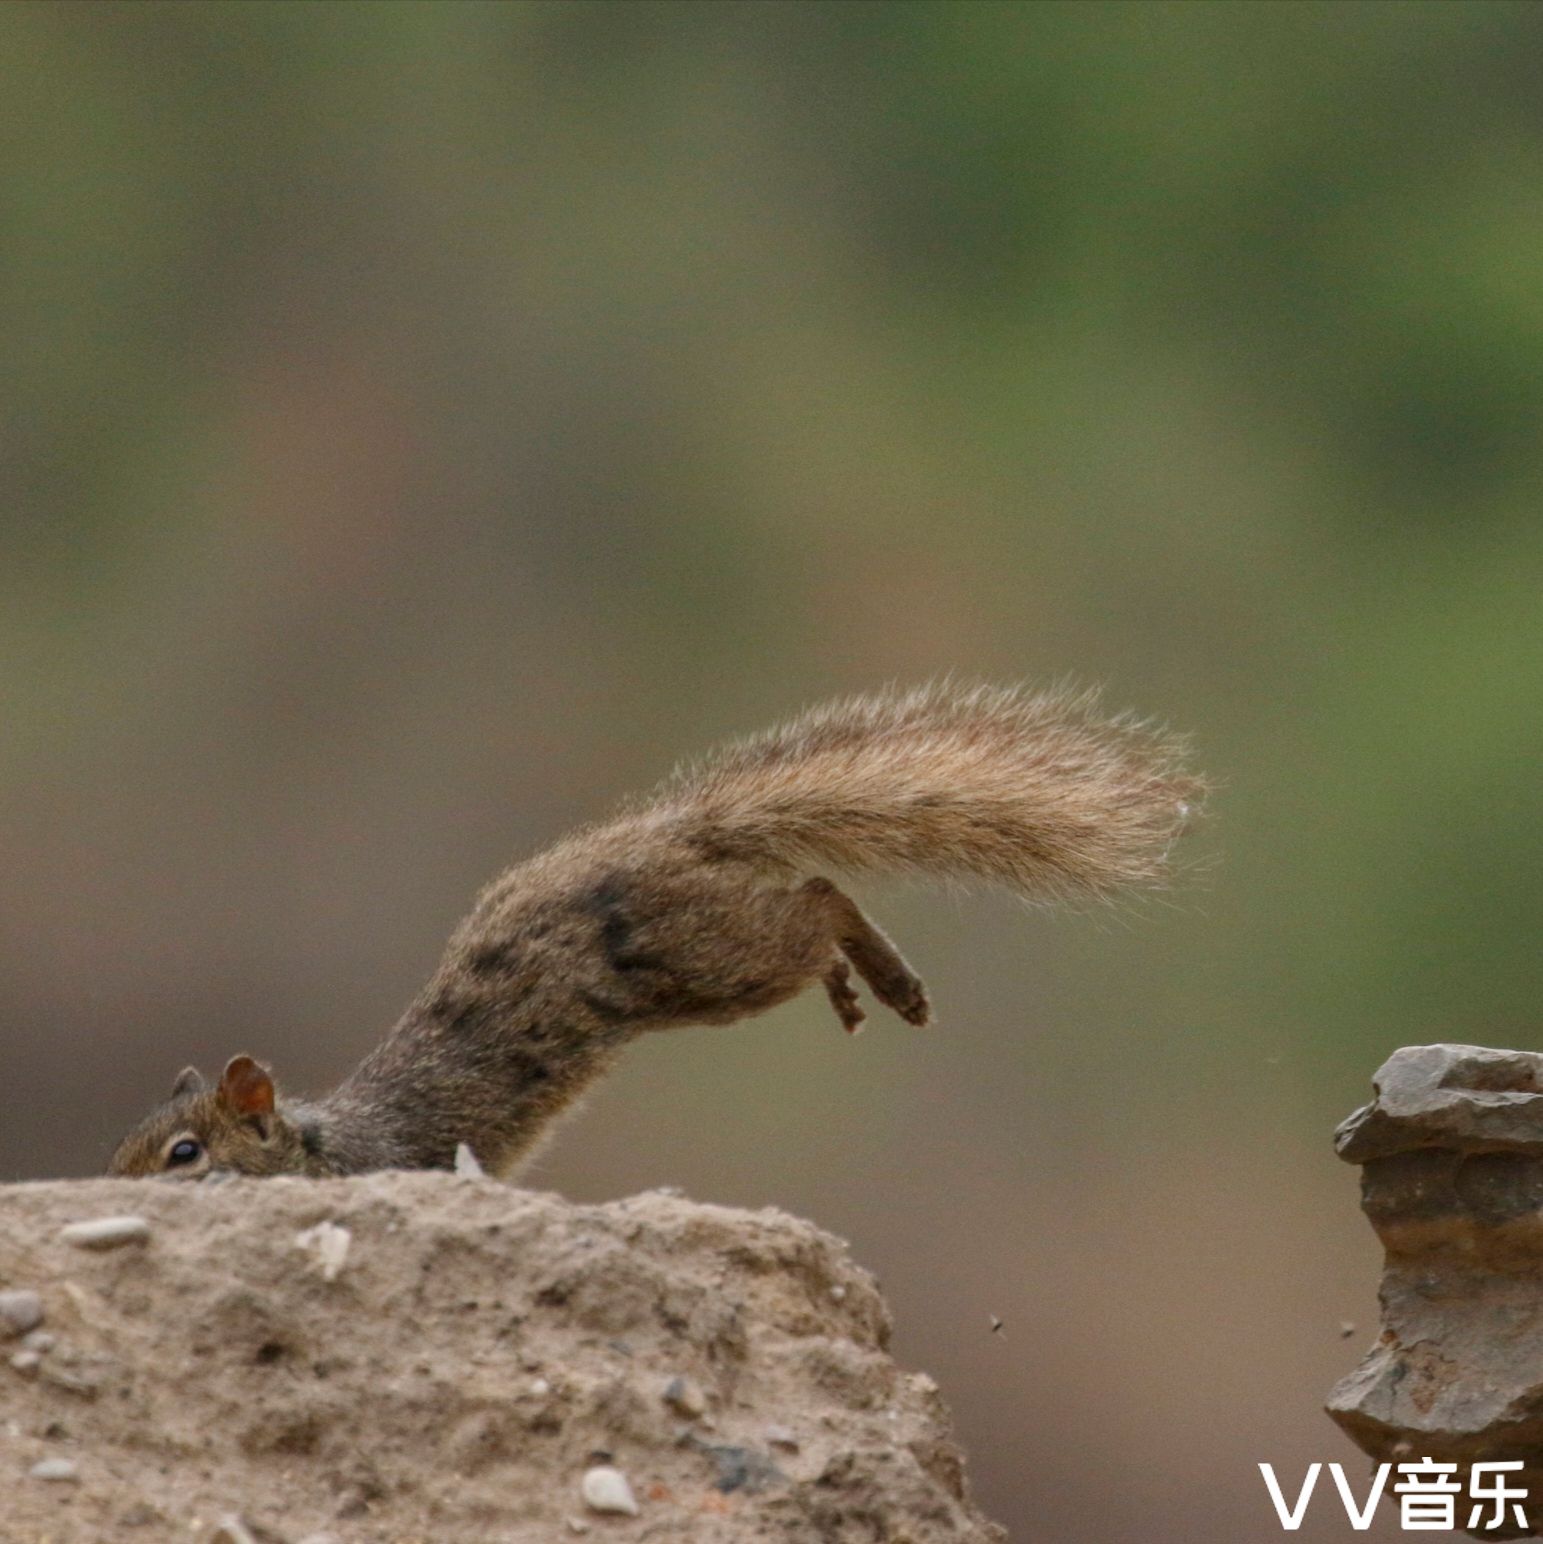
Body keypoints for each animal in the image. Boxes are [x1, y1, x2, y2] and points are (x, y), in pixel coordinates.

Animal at [105, 685, 1204, 1179]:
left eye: (186, 1155)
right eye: (127, 1144)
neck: (320, 1142)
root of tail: (671, 831)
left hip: (708, 959)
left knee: (816, 898)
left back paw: (883, 979)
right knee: (811, 896)